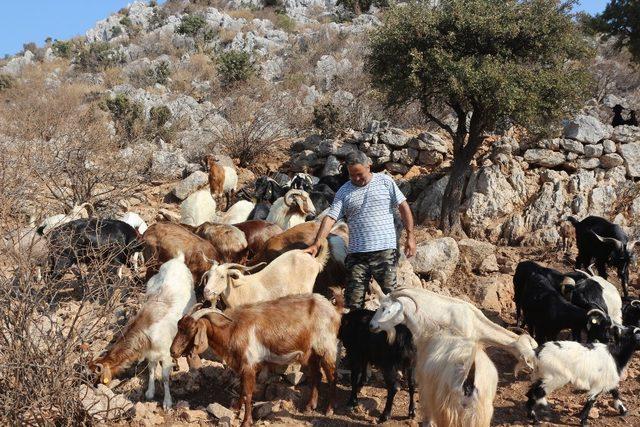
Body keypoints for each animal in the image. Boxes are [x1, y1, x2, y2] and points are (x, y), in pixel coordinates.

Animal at [89, 254, 195, 412]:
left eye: (93, 374)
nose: (93, 388)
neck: (146, 330)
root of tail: (178, 260)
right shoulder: (150, 353)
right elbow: (151, 369)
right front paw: (150, 392)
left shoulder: (165, 352)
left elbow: (165, 377)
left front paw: (167, 402)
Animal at [169, 294, 340, 427]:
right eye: (179, 326)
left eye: (191, 330)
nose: (173, 351)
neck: (232, 329)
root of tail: (333, 310)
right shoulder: (240, 365)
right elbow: (240, 389)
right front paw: (236, 409)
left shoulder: (249, 365)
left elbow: (248, 393)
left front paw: (246, 421)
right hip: (311, 353)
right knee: (317, 375)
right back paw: (309, 406)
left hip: (327, 348)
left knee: (332, 377)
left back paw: (329, 409)